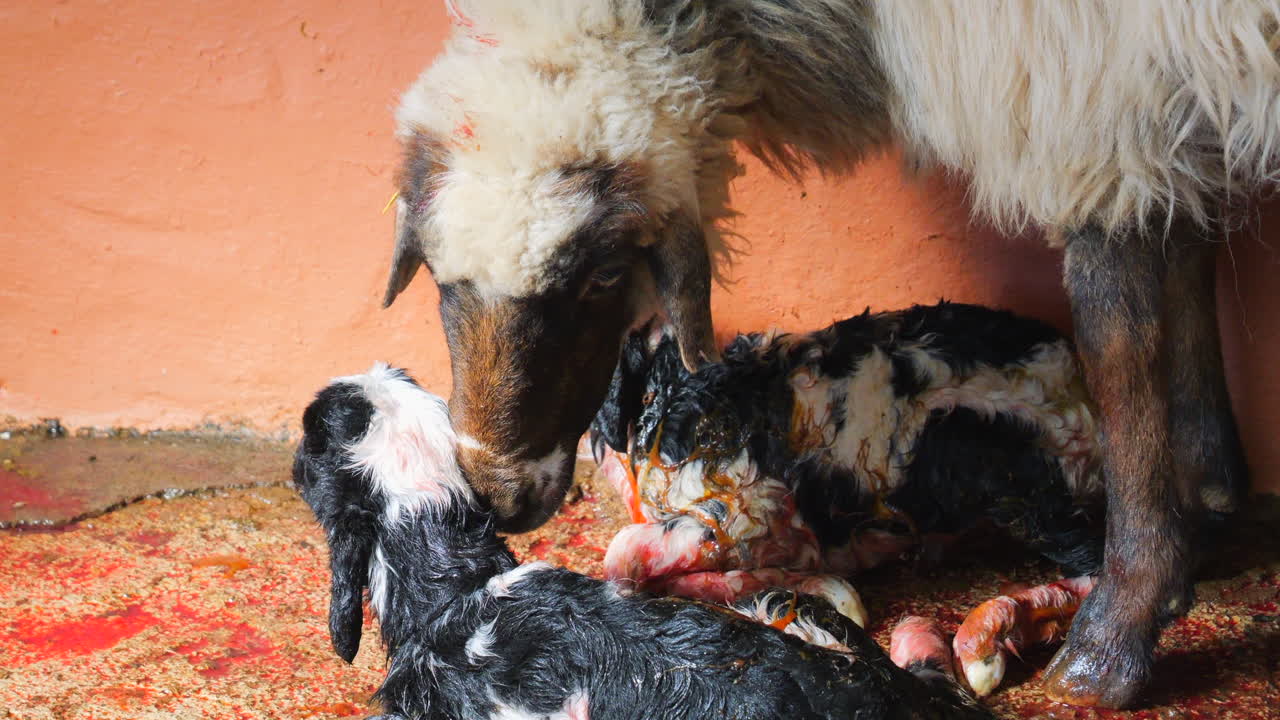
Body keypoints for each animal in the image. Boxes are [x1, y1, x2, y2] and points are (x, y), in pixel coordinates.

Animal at [588, 302, 1104, 695]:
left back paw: (983, 646)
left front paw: (833, 595)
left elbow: (623, 556)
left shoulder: (742, 515)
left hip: (992, 458)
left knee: (1100, 567)